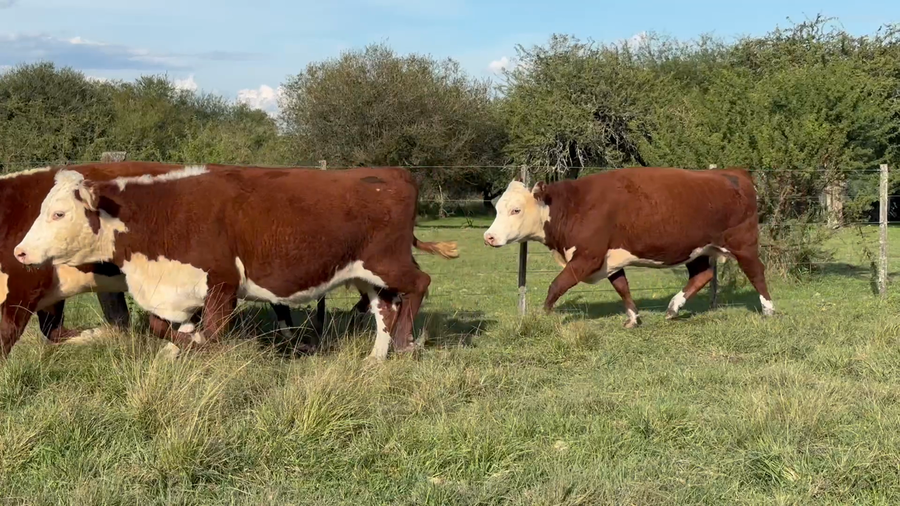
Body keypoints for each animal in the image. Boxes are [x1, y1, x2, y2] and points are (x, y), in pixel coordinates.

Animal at [14, 165, 458, 359]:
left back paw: (404, 341)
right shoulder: (178, 288)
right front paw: (177, 349)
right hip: (367, 273)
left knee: (420, 284)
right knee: (385, 308)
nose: (20, 252)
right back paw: (375, 360)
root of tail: (390, 173)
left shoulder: (223, 283)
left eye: (58, 214)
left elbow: (210, 334)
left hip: (389, 261)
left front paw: (194, 347)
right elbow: (160, 327)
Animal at [482, 167, 773, 326]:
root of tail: (734, 173)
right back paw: (673, 308)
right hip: (697, 249)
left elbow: (557, 285)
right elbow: (622, 286)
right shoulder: (609, 259)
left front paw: (542, 316)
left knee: (756, 273)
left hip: (743, 243)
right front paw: (634, 318)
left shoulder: (587, 257)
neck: (574, 205)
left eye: (516, 209)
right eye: (497, 208)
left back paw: (768, 309)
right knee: (703, 275)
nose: (489, 237)